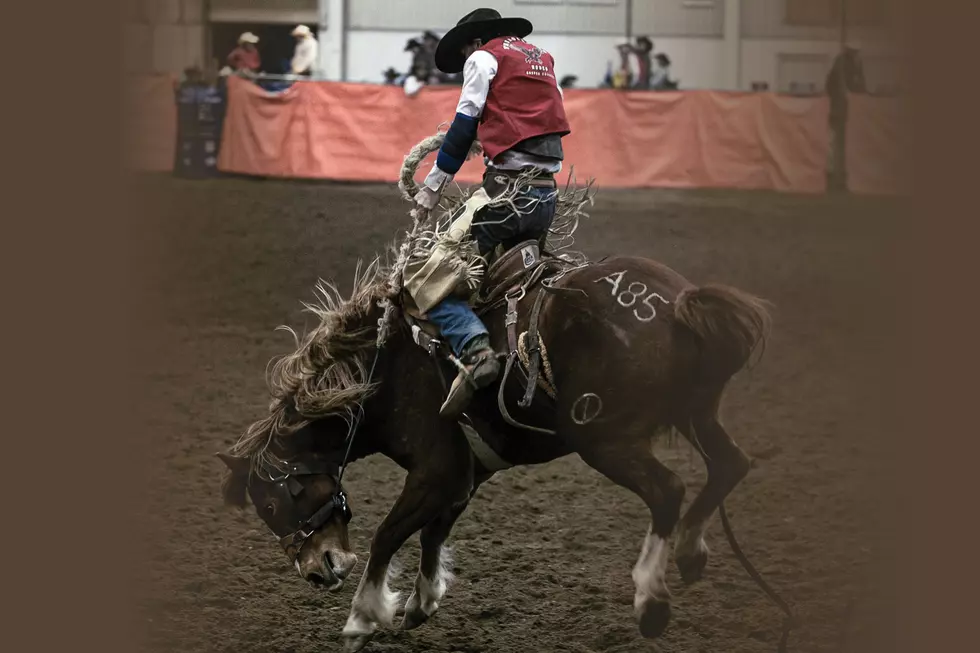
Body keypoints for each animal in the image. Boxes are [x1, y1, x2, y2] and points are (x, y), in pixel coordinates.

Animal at [216, 135, 772, 648]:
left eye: (270, 505)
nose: (318, 570)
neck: (386, 369)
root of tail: (679, 302)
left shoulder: (437, 468)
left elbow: (389, 533)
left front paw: (362, 618)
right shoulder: (466, 473)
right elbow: (433, 532)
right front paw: (420, 603)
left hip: (606, 439)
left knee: (669, 490)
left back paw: (651, 599)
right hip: (696, 412)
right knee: (730, 464)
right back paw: (691, 553)